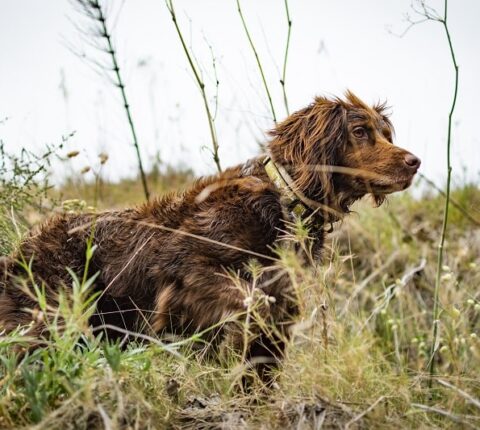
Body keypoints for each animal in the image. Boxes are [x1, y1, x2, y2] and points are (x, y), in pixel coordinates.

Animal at [0, 92, 420, 382]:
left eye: (385, 133)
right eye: (360, 132)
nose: (415, 162)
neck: (280, 204)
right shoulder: (184, 267)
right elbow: (254, 303)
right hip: (53, 311)